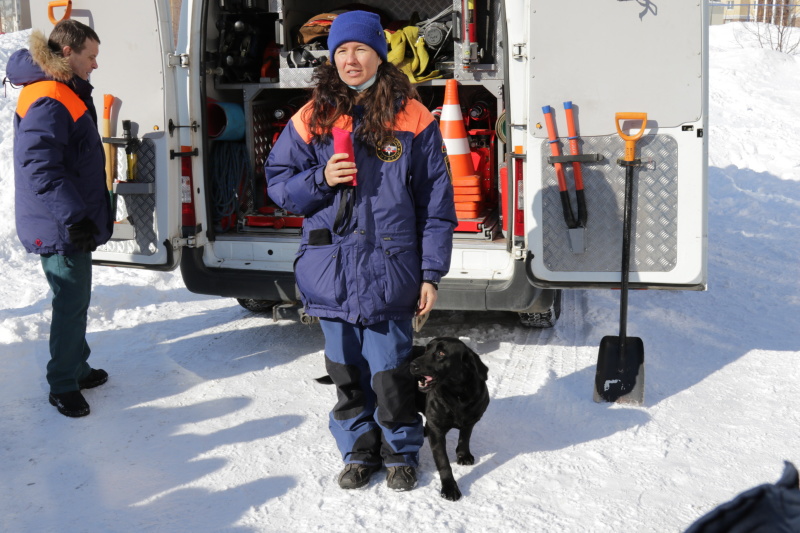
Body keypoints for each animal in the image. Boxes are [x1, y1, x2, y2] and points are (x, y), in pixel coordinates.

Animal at [410, 336, 490, 498]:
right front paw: (449, 487)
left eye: (441, 353)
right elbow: (443, 462)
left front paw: (463, 455)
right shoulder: (436, 430)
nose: (412, 365)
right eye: (427, 349)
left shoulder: (471, 420)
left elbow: (465, 437)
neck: (457, 395)